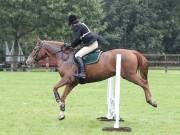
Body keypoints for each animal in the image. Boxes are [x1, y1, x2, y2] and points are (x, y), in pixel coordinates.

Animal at [26, 38, 157, 119]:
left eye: (35, 49)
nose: (27, 61)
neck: (64, 58)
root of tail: (132, 52)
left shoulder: (67, 79)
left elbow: (54, 88)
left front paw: (58, 101)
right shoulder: (72, 83)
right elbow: (64, 96)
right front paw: (61, 113)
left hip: (129, 75)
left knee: (144, 83)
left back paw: (152, 101)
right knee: (144, 83)